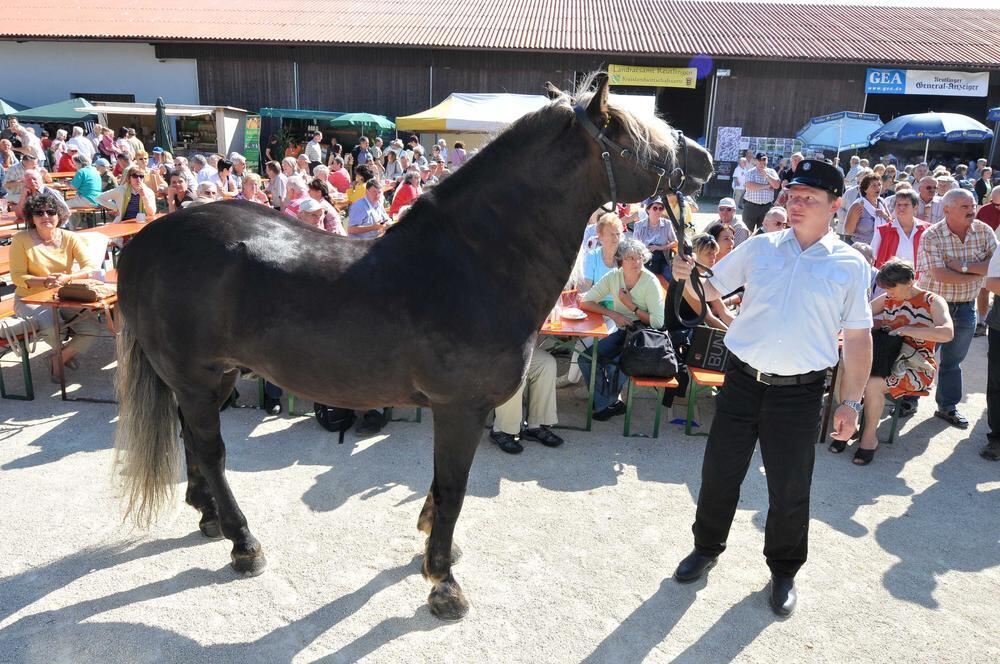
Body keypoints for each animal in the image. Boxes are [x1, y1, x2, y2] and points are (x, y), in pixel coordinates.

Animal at [113, 75, 716, 620]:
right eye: (636, 134)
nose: (704, 159)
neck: (473, 264)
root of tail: (146, 241)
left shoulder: (458, 411)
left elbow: (442, 489)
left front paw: (432, 545)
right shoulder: (460, 409)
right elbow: (453, 487)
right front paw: (443, 583)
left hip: (214, 378)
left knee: (193, 440)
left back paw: (209, 516)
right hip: (196, 378)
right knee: (212, 450)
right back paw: (243, 543)